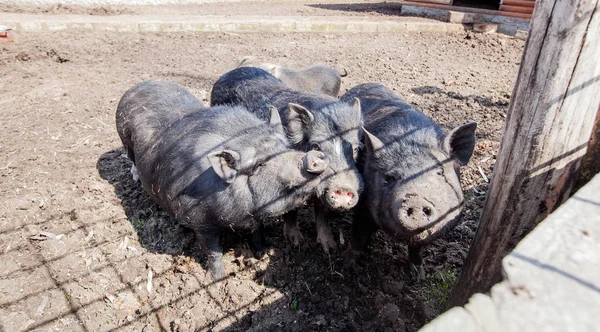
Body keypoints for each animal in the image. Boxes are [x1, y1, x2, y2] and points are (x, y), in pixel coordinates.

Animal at [115, 81, 330, 280]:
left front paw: (260, 255)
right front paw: (217, 278)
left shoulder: (253, 218)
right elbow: (213, 251)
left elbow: (257, 233)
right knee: (131, 158)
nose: (313, 156)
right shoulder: (200, 222)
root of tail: (136, 87)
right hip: (125, 139)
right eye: (258, 165)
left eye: (285, 148)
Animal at [211, 67, 360, 254]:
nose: (343, 188)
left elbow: (321, 211)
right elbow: (291, 209)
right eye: (316, 146)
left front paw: (330, 249)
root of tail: (231, 72)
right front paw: (296, 243)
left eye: (355, 148)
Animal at [340, 83, 476, 268]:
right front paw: (346, 264)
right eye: (389, 178)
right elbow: (359, 234)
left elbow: (417, 249)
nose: (416, 201)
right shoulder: (362, 206)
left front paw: (418, 271)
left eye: (440, 172)